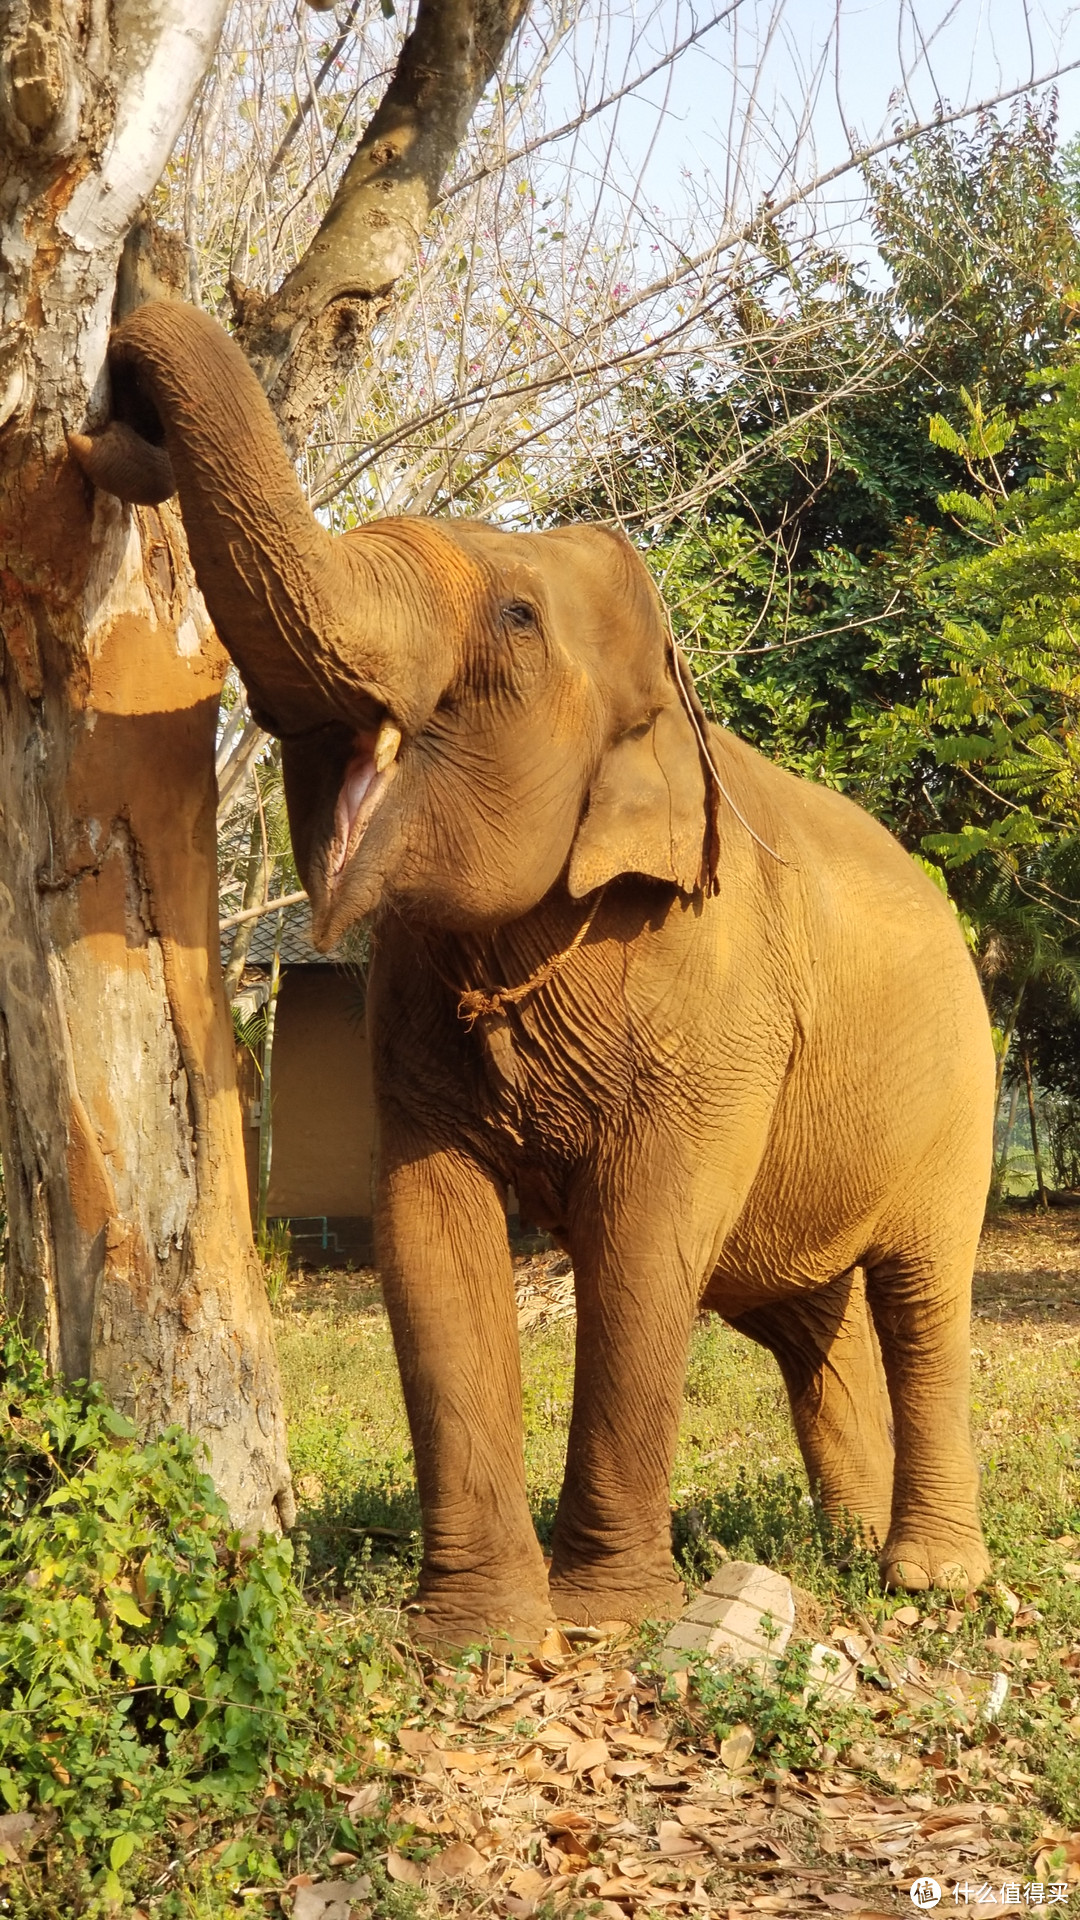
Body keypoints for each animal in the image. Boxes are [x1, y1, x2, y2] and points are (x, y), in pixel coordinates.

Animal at [69, 303, 991, 1651]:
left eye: (513, 620)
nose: (114, 404)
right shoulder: (407, 1003)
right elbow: (424, 1234)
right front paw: (478, 1636)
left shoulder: (715, 1005)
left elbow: (645, 1238)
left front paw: (605, 1620)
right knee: (804, 1320)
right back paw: (838, 1546)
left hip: (957, 1099)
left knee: (922, 1295)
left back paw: (927, 1579)